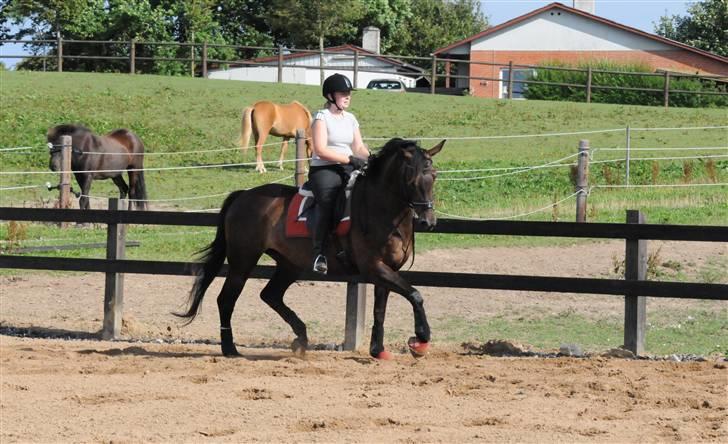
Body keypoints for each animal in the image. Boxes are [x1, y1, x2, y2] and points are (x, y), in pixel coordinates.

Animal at [179, 137, 446, 360]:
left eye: (433, 176)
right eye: (411, 180)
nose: (428, 222)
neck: (380, 210)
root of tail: (243, 196)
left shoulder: (387, 269)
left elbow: (381, 310)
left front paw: (378, 350)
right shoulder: (374, 268)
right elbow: (415, 295)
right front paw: (421, 340)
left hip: (289, 264)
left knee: (270, 295)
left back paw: (301, 338)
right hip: (243, 261)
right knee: (226, 300)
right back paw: (230, 349)